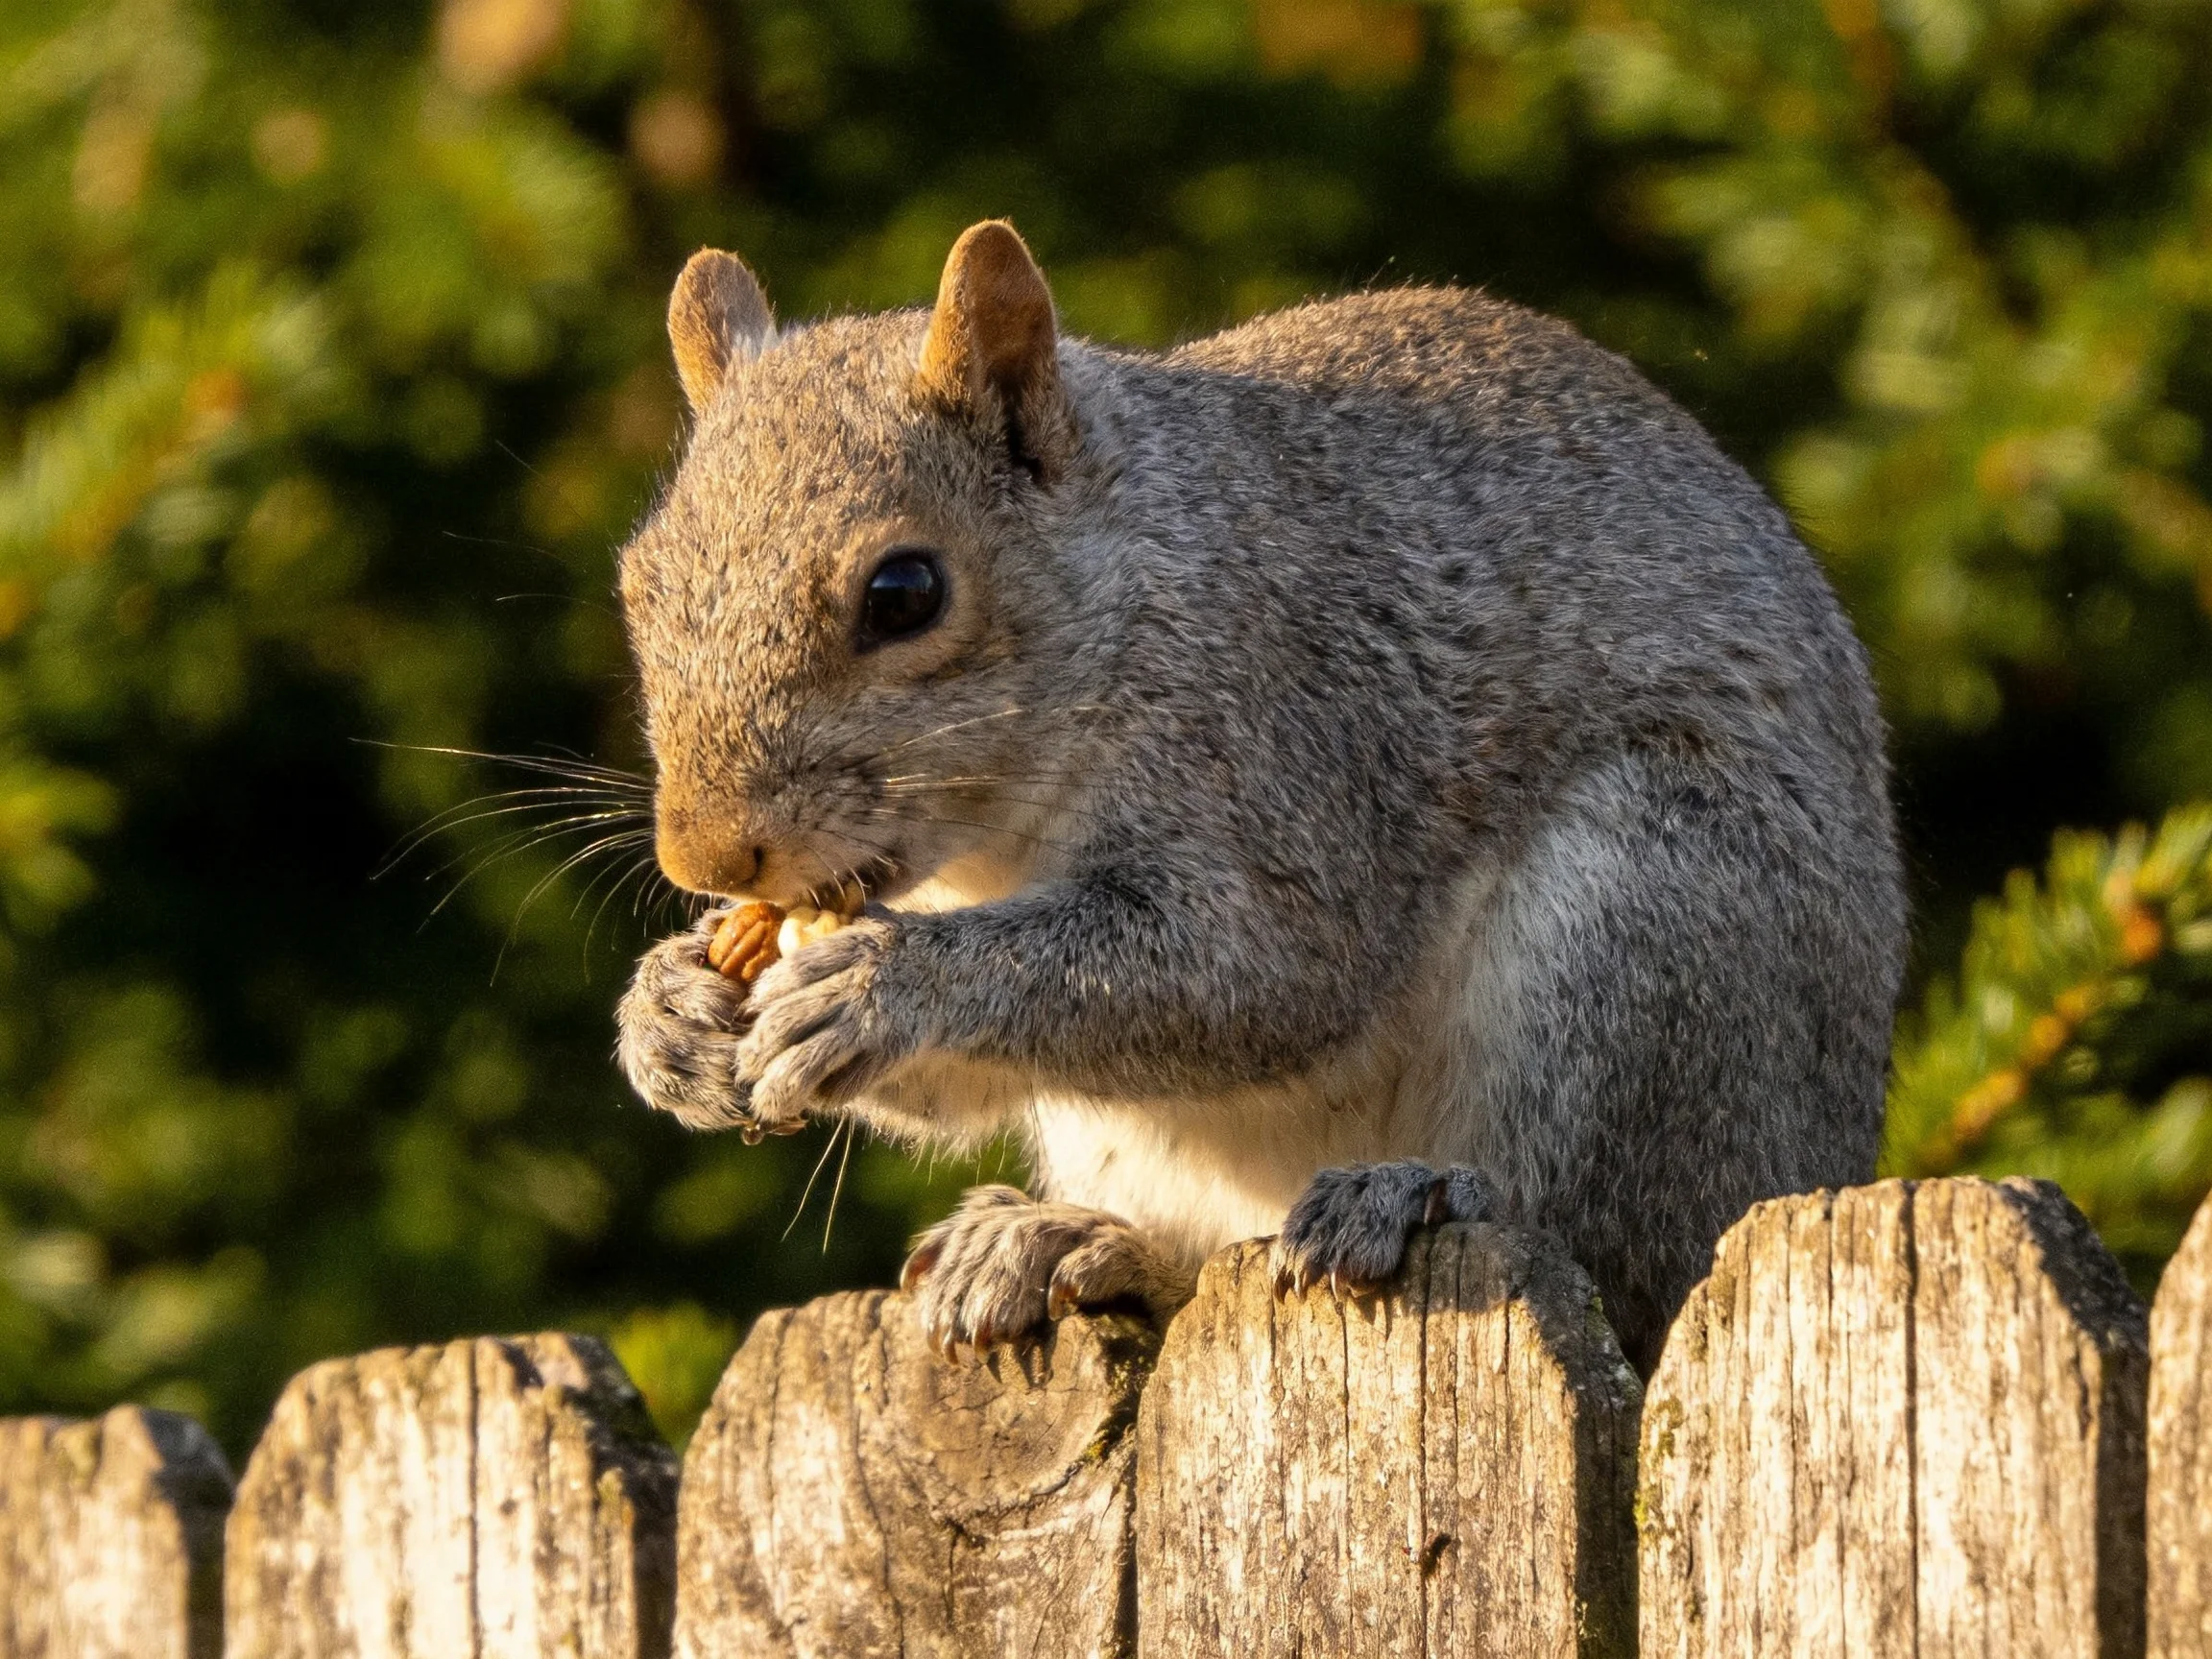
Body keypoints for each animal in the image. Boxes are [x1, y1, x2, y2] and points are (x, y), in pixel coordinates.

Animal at [615, 219, 1905, 1374]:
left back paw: (1413, 1192)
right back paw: (1061, 1239)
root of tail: (1826, 1152)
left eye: (904, 592)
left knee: (1600, 1230)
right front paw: (669, 1014)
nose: (705, 858)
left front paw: (881, 989)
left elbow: (1263, 976)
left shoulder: (1302, 742)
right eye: (637, 582)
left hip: (1654, 923)